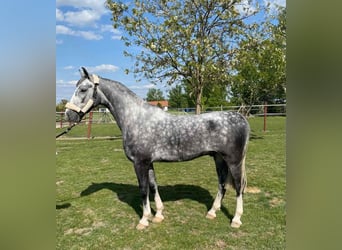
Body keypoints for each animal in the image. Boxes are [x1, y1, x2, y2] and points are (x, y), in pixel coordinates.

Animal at [66, 67, 248, 229]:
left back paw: (236, 219)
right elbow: (153, 186)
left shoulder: (139, 163)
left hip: (234, 161)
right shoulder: (149, 163)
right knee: (222, 184)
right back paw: (212, 212)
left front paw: (144, 220)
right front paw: (158, 215)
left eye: (83, 89)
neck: (136, 118)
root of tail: (240, 117)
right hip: (218, 158)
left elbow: (143, 189)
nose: (69, 115)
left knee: (239, 187)